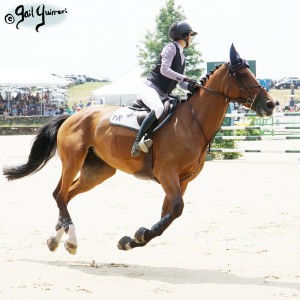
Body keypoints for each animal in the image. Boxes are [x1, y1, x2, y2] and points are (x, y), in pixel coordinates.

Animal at [2, 45, 276, 255]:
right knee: (59, 194)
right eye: (243, 76)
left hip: (97, 172)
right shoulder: (167, 174)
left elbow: (169, 214)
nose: (271, 104)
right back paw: (70, 240)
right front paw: (138, 237)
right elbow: (177, 209)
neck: (193, 123)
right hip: (73, 160)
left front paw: (133, 240)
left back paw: (57, 238)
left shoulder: (182, 180)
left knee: (66, 196)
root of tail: (72, 115)